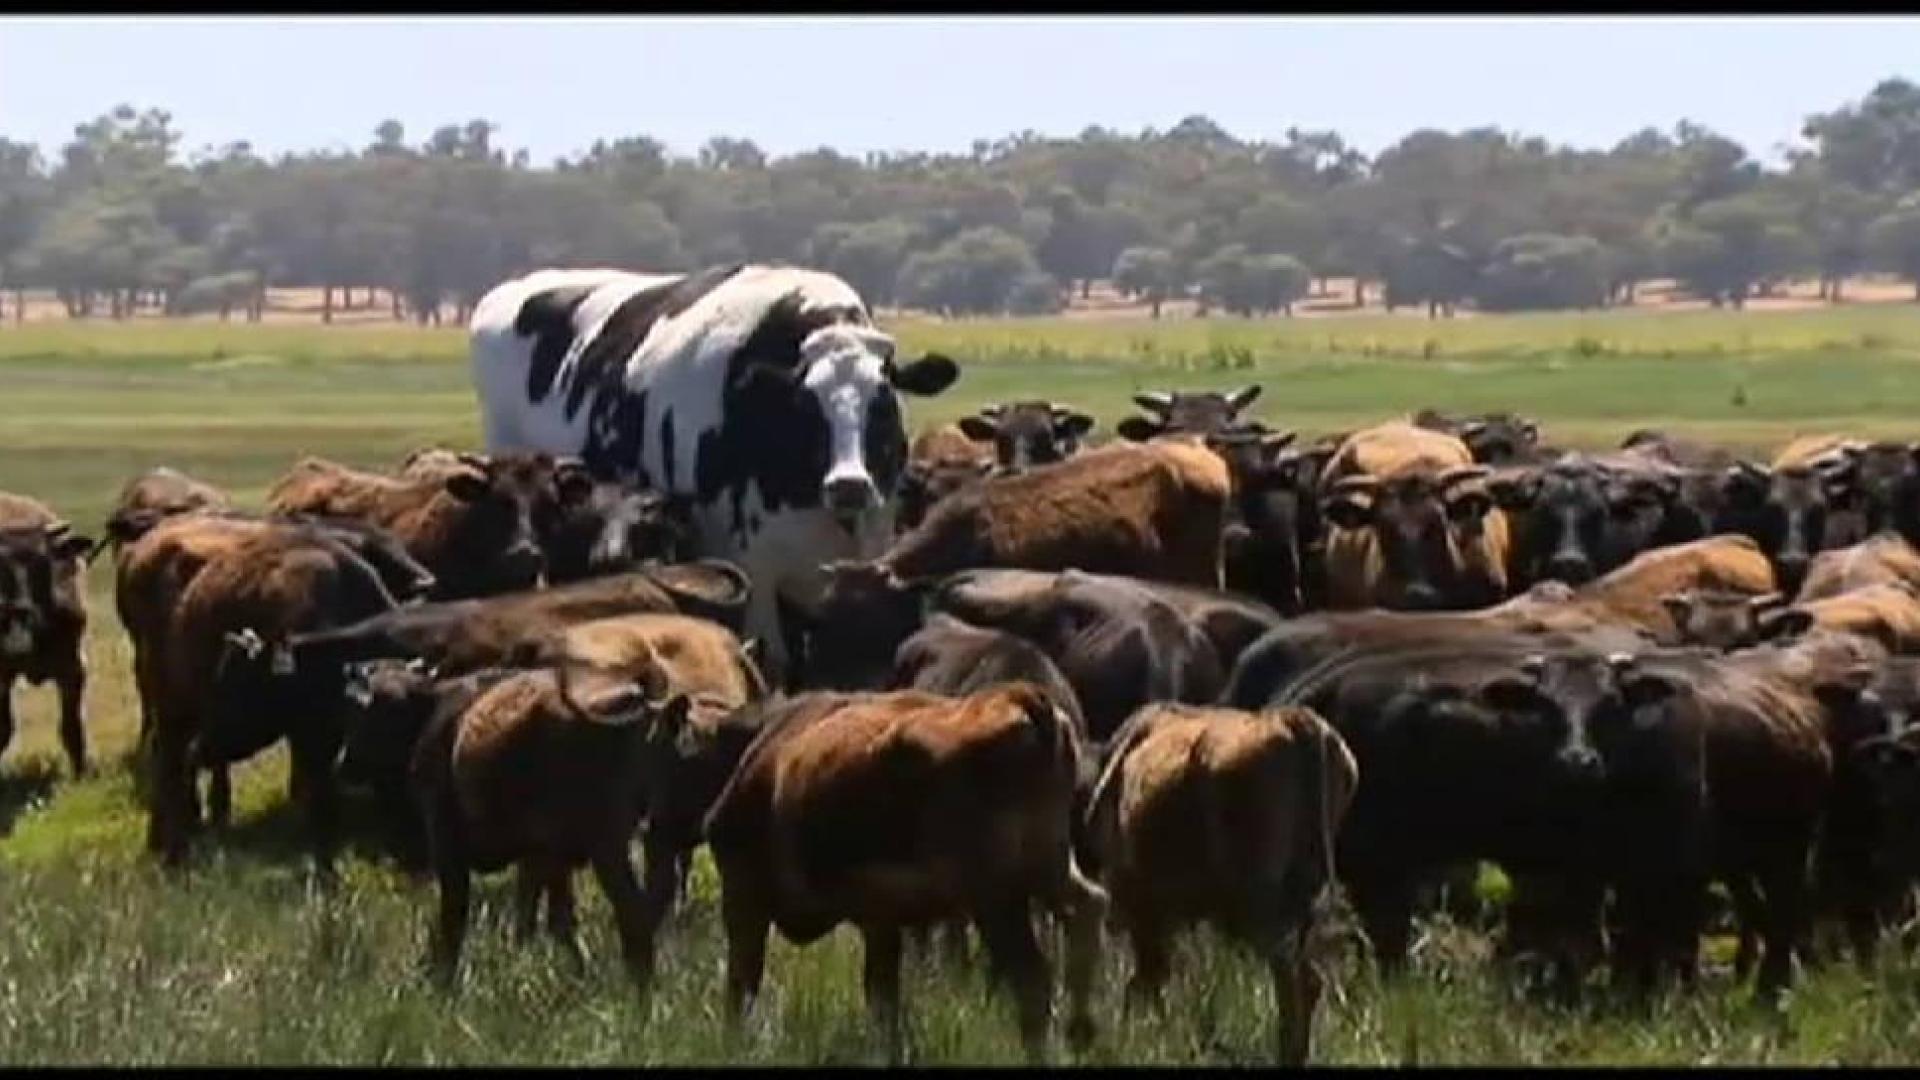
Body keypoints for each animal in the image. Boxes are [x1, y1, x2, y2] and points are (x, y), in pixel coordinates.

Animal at [0, 493, 94, 779]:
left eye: (42, 563)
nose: (18, 611)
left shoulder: (72, 666)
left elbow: (72, 726)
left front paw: (81, 774)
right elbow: (3, 728)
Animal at [468, 263, 961, 686]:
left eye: (884, 403)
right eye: (805, 404)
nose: (849, 485)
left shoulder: (866, 556)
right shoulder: (751, 568)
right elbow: (773, 663)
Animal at [697, 684, 1106, 1062]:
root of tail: (1021, 697)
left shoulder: (744, 897)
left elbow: (742, 983)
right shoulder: (880, 920)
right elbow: (883, 998)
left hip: (996, 899)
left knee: (1032, 977)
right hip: (1049, 871)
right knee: (1089, 908)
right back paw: (1080, 1032)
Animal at [1082, 701, 1356, 1064]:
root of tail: (1295, 721)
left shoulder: (1144, 907)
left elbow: (1144, 981)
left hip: (1259, 908)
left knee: (1296, 980)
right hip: (1293, 905)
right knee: (1306, 981)